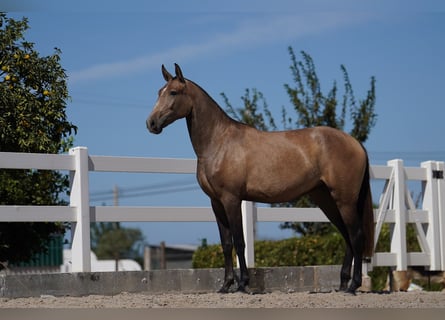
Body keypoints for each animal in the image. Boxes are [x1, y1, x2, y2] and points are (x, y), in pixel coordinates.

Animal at [147, 63, 374, 296]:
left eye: (173, 92)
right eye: (159, 92)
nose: (151, 123)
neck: (219, 142)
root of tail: (355, 143)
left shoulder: (231, 199)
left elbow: (239, 242)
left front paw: (243, 284)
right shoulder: (216, 203)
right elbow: (226, 244)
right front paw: (225, 285)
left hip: (345, 200)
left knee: (356, 236)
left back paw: (353, 285)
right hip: (326, 199)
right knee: (347, 236)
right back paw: (342, 284)